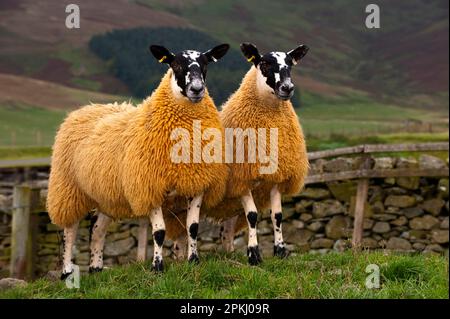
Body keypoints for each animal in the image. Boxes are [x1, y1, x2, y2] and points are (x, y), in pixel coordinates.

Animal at [47, 43, 230, 278]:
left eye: (206, 64)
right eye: (176, 65)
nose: (197, 89)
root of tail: (84, 109)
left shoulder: (197, 184)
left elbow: (193, 227)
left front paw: (193, 261)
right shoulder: (149, 186)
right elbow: (159, 232)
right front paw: (157, 267)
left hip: (105, 195)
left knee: (96, 230)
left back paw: (96, 269)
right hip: (69, 189)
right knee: (70, 230)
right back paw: (67, 271)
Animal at [167, 43, 312, 268]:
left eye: (290, 64)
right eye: (264, 64)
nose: (287, 88)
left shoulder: (276, 178)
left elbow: (277, 216)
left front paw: (280, 251)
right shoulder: (241, 179)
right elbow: (252, 216)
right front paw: (254, 255)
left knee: (225, 232)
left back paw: (229, 254)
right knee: (182, 233)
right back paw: (181, 259)